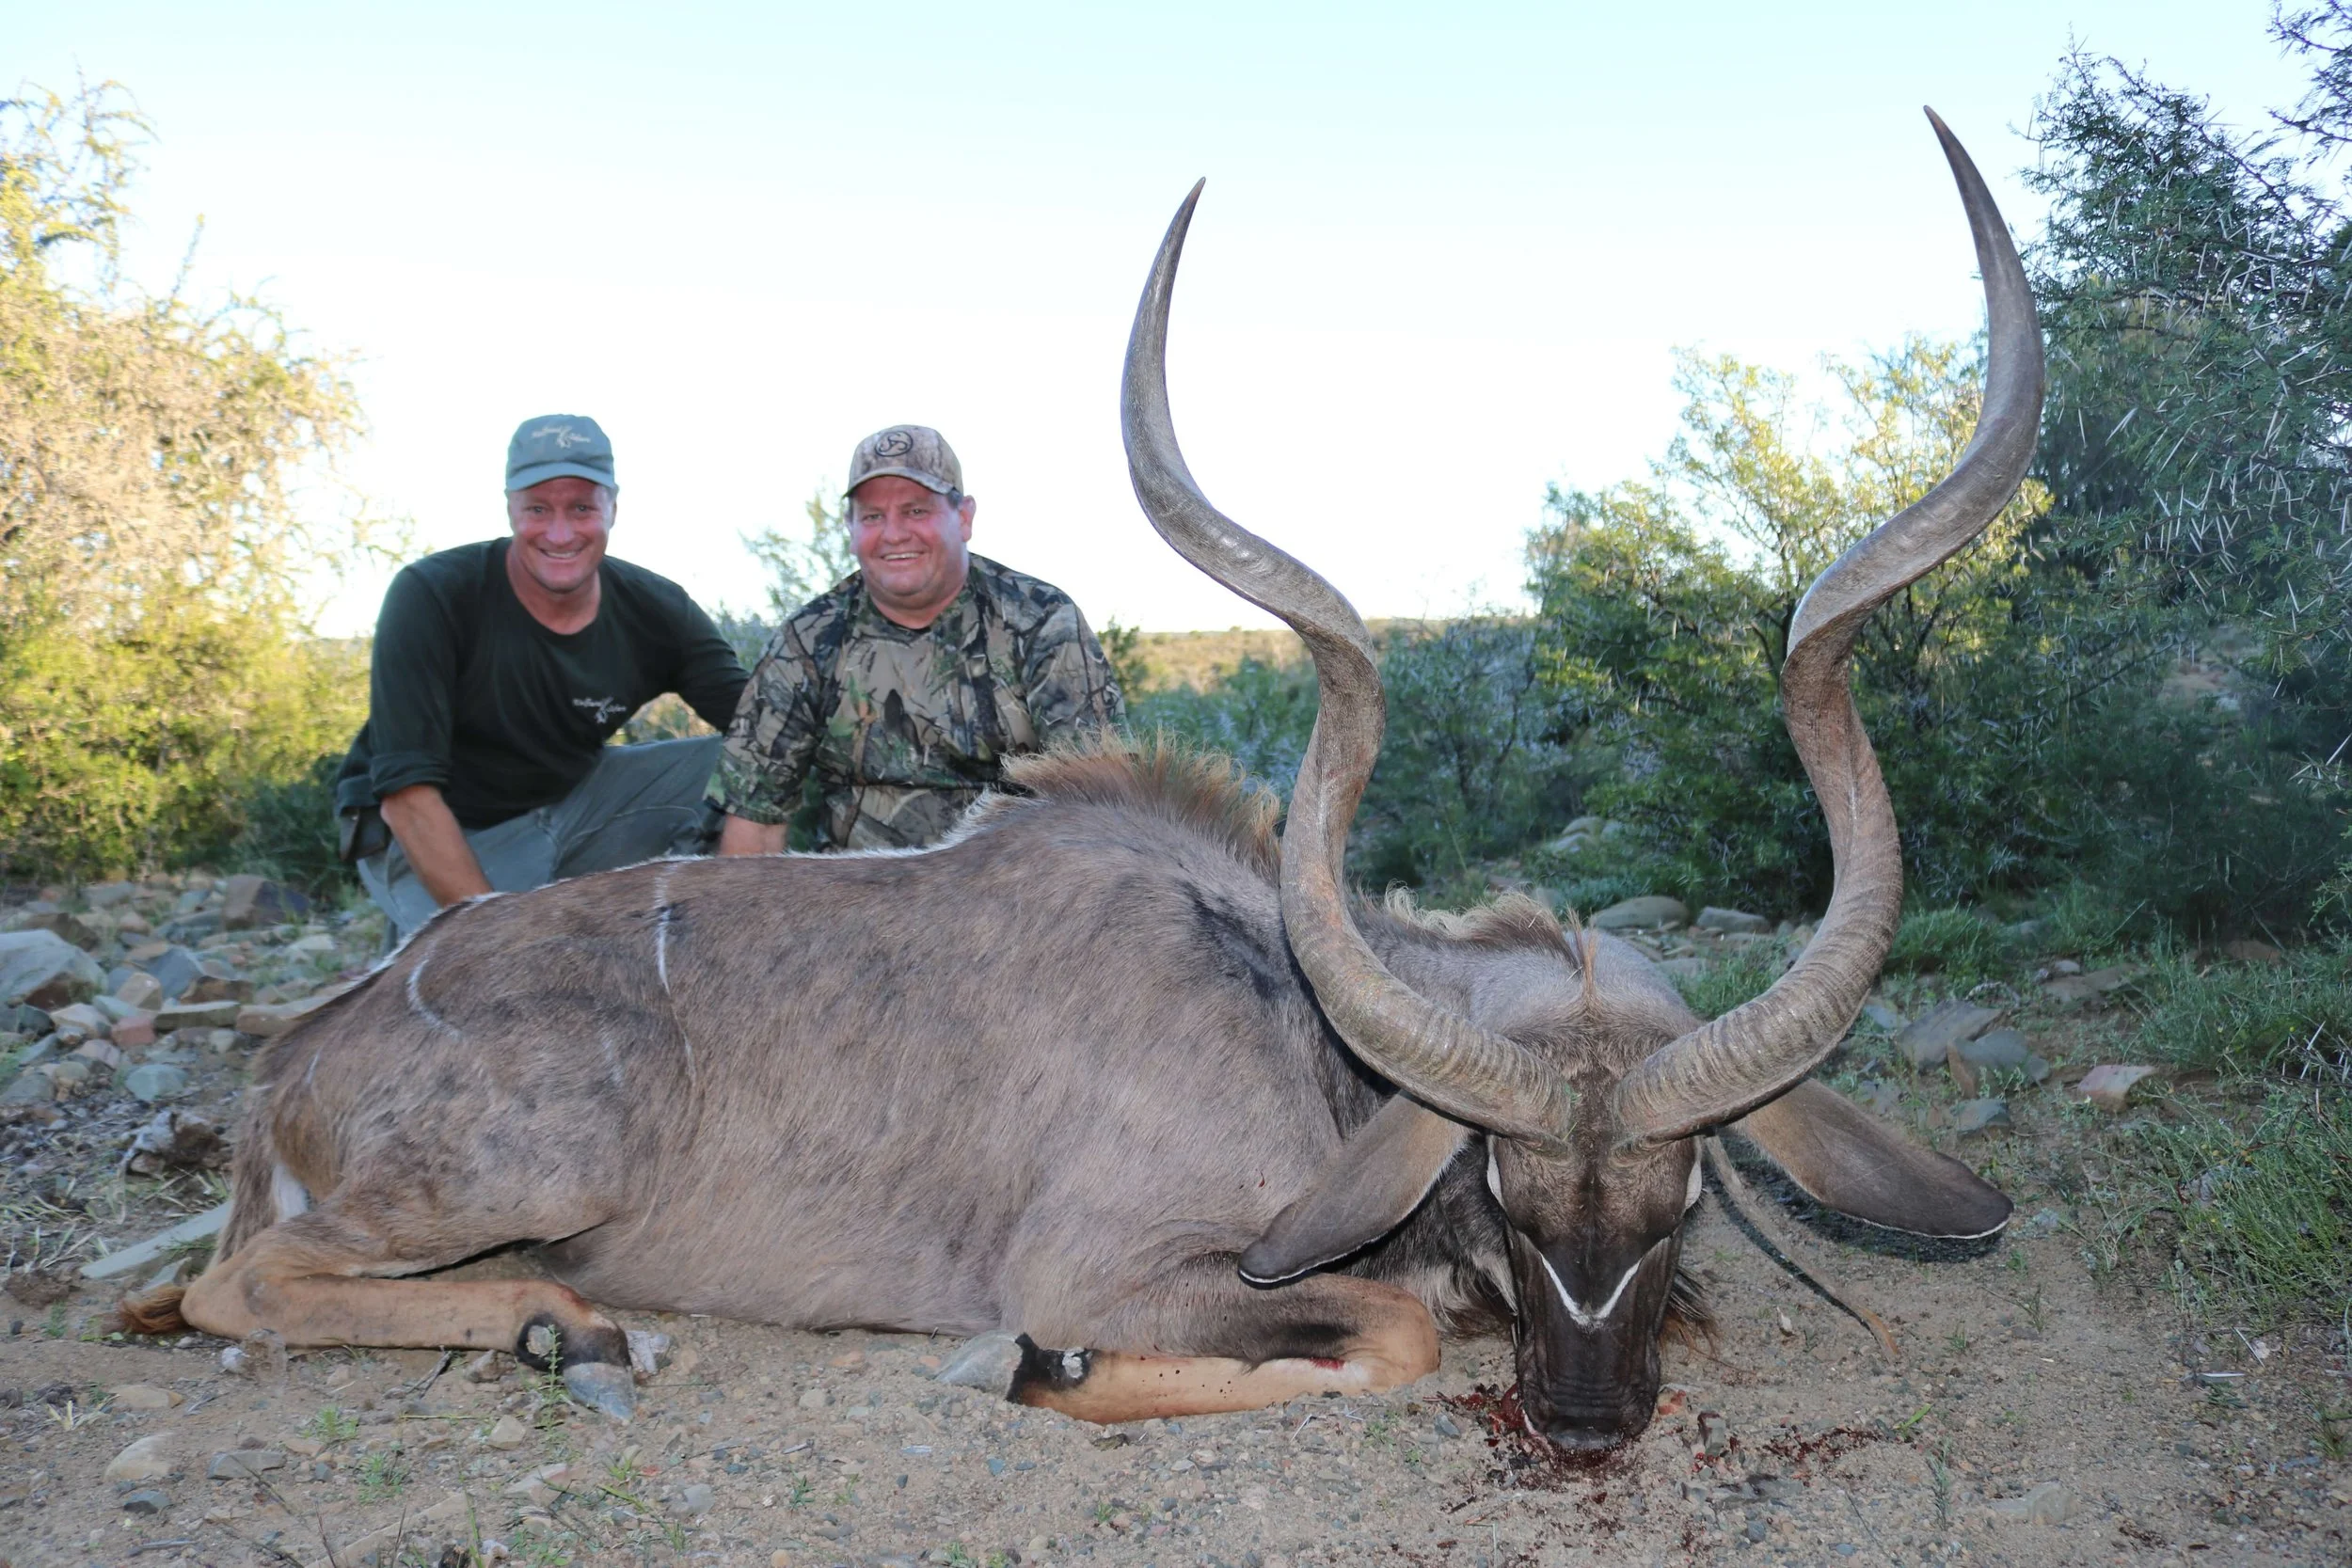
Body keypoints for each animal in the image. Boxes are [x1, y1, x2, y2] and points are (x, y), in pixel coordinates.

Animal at [130, 111, 2036, 1451]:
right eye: (1499, 1182)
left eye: (1688, 1192)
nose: (1583, 1419)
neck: (1302, 1028)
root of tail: (292, 1063)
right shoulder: (1117, 1261)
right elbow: (1385, 1329)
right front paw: (1035, 1370)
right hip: (531, 1170)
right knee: (236, 1282)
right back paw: (571, 1321)